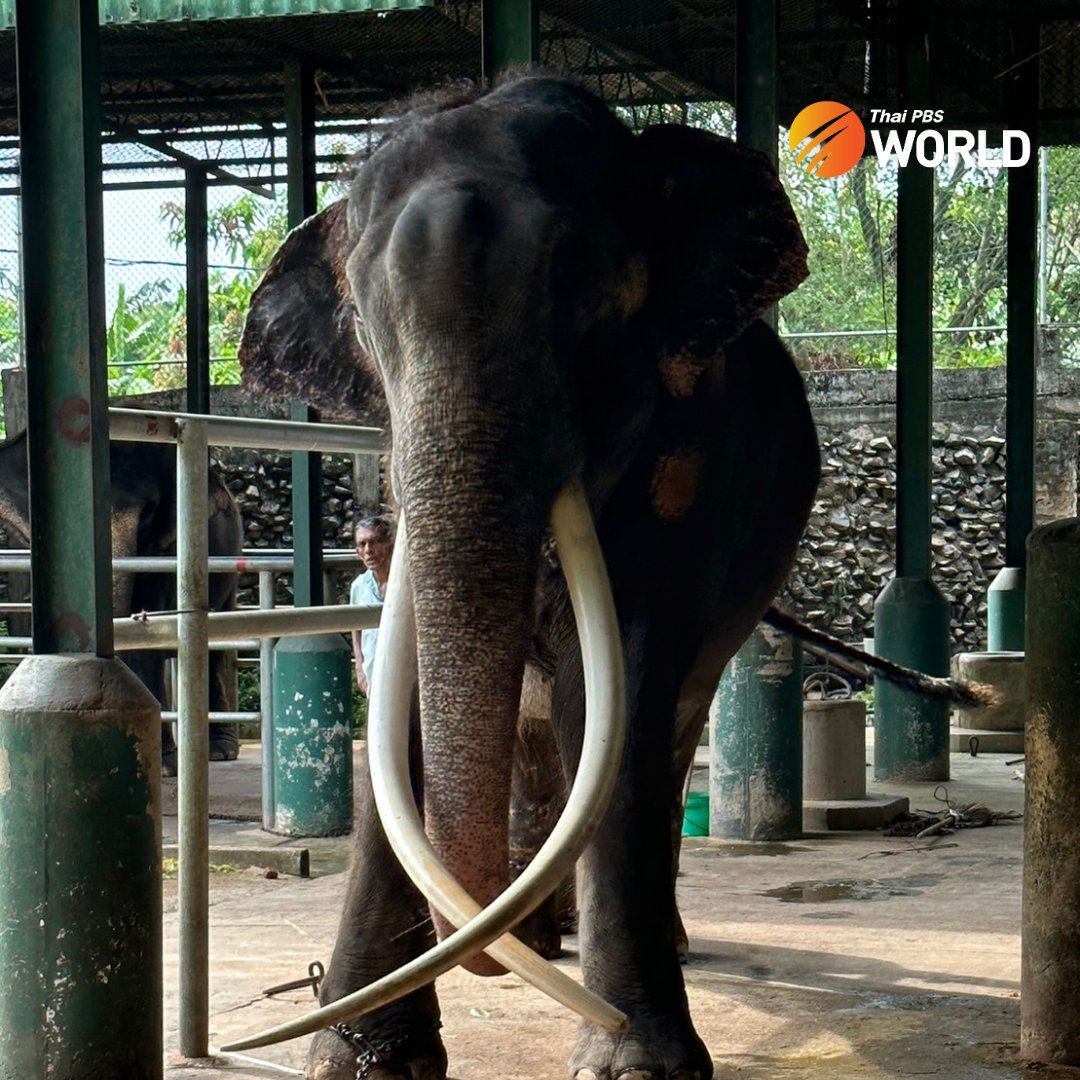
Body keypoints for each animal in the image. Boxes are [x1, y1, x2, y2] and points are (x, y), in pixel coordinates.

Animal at [235, 72, 819, 1080]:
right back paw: (537, 940)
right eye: (365, 328)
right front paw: (359, 1060)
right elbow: (408, 714)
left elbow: (612, 695)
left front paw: (638, 1064)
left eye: (587, 294)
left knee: (665, 735)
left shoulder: (689, 473)